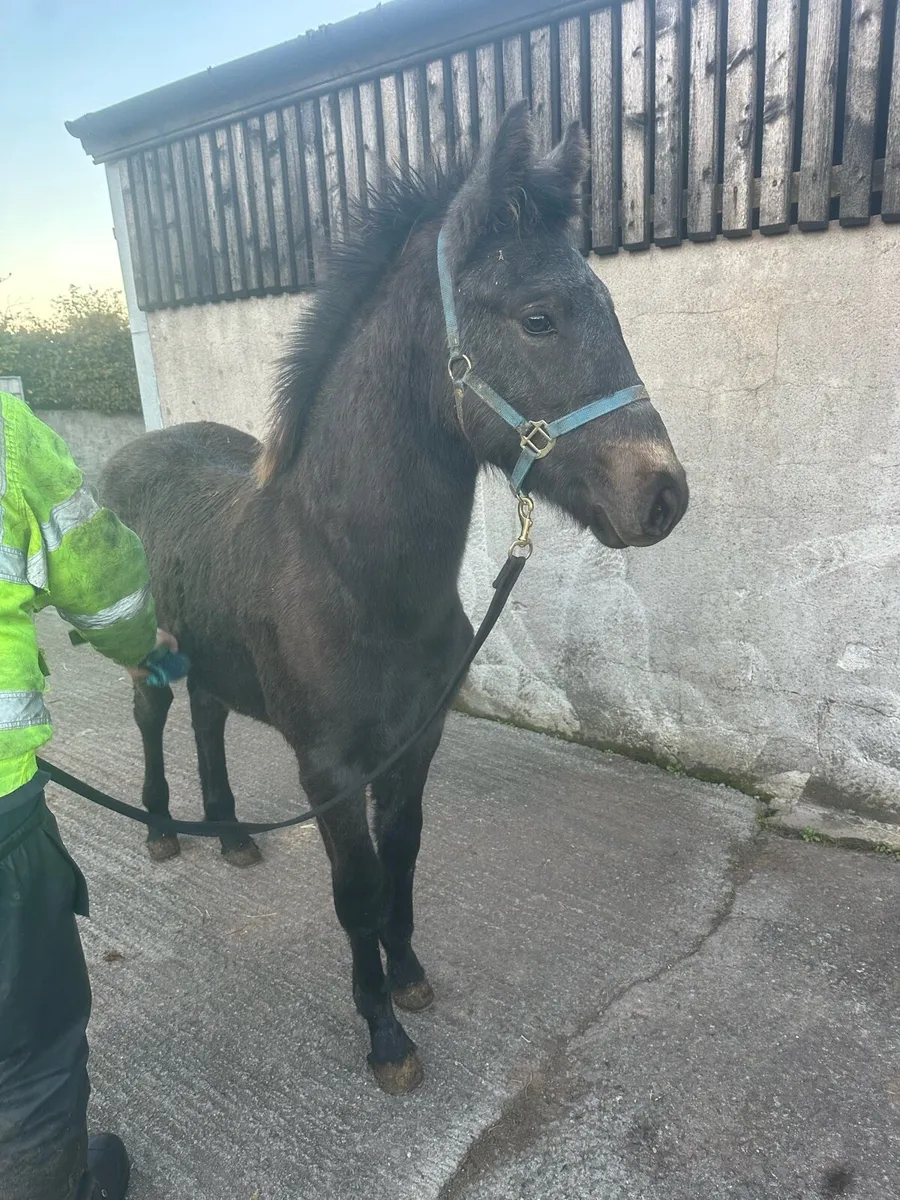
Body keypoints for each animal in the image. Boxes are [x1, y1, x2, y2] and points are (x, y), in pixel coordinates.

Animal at [100, 102, 689, 1094]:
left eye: (610, 308)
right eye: (539, 318)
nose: (663, 496)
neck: (354, 578)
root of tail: (128, 454)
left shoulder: (412, 748)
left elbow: (403, 864)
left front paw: (409, 978)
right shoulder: (331, 771)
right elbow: (357, 891)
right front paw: (384, 1037)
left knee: (208, 716)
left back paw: (232, 835)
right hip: (149, 652)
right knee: (152, 719)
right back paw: (160, 831)